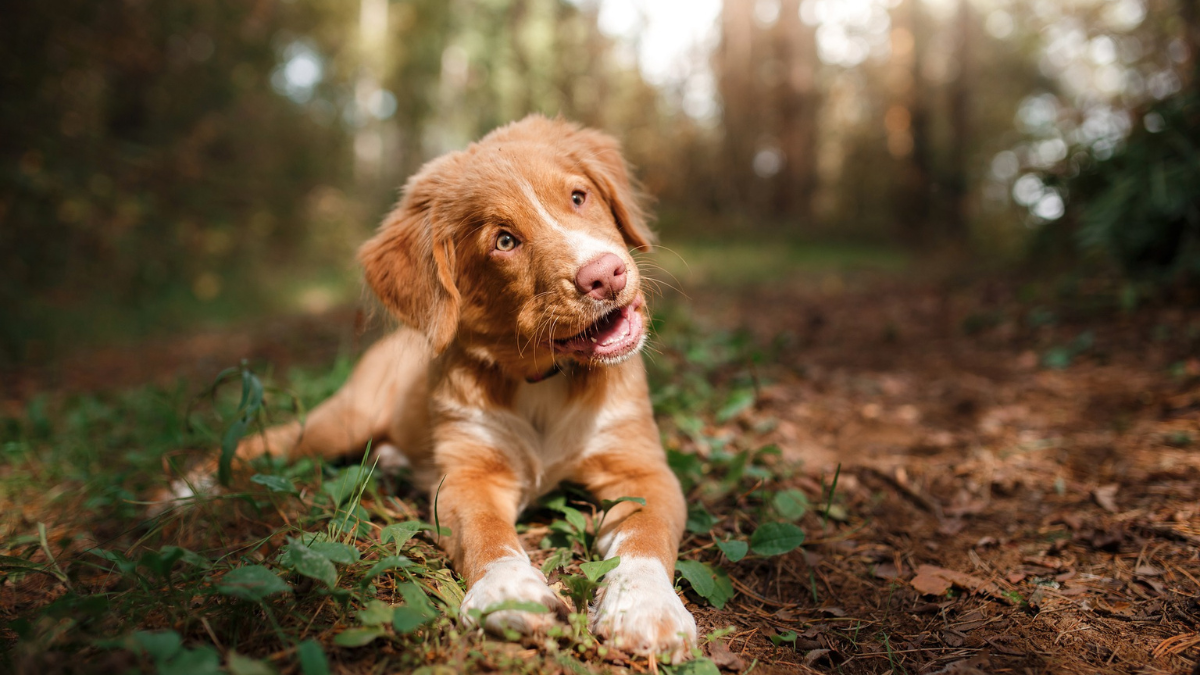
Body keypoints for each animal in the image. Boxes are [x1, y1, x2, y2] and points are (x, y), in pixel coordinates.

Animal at [175, 114, 700, 658]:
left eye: (579, 197)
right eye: (504, 241)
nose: (605, 275)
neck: (543, 379)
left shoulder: (642, 469)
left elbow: (646, 535)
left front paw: (645, 605)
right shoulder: (467, 476)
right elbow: (487, 534)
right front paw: (508, 592)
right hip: (343, 420)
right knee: (269, 441)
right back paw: (190, 487)